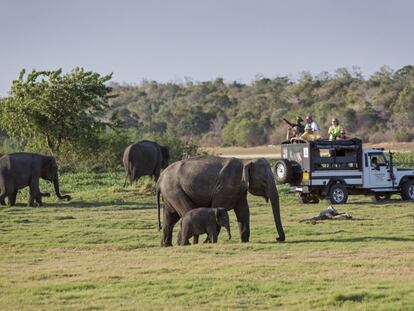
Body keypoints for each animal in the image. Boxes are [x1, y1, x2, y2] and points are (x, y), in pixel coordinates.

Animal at [156, 157, 284, 247]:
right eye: (264, 181)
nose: (277, 238)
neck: (245, 161)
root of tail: (160, 179)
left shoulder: (240, 191)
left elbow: (243, 212)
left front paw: (245, 241)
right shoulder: (225, 188)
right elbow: (217, 207)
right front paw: (208, 242)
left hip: (170, 195)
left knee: (170, 218)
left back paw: (167, 245)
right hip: (175, 190)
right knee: (186, 211)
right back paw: (184, 244)